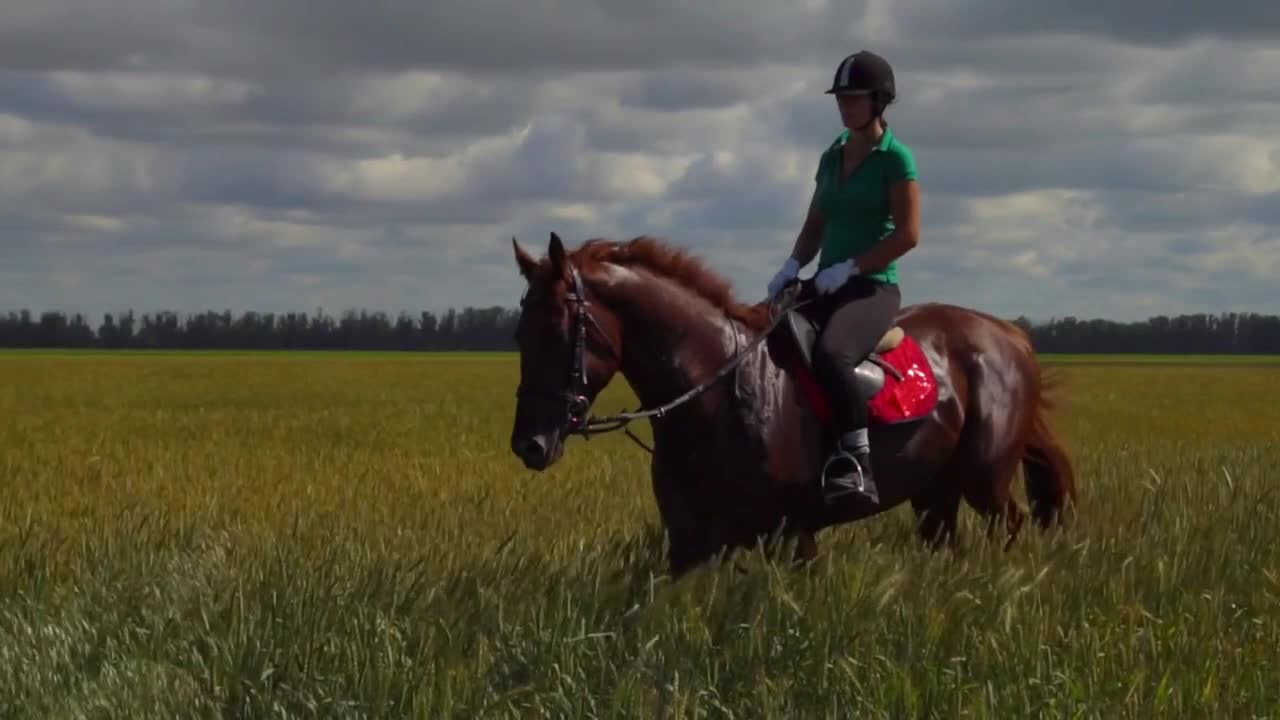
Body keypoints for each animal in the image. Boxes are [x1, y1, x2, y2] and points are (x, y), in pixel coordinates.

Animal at [504, 230, 1075, 576]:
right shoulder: (689, 544)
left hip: (986, 481)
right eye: (519, 333)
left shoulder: (792, 534)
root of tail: (1010, 335)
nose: (530, 444)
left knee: (1011, 526)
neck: (720, 394)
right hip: (935, 490)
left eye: (557, 332)